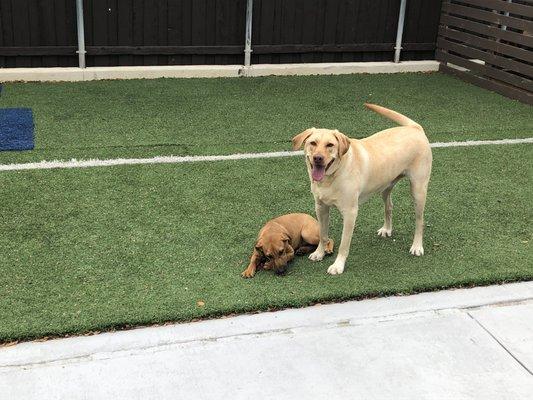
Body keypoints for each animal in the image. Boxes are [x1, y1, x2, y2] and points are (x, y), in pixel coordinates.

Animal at [290, 103, 432, 276]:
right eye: (313, 143)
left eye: (330, 145)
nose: (318, 158)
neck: (332, 177)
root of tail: (415, 127)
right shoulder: (320, 207)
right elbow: (323, 234)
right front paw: (319, 253)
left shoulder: (350, 212)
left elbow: (344, 244)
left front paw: (338, 266)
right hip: (386, 186)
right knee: (389, 206)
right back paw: (387, 229)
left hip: (418, 189)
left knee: (419, 221)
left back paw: (417, 246)